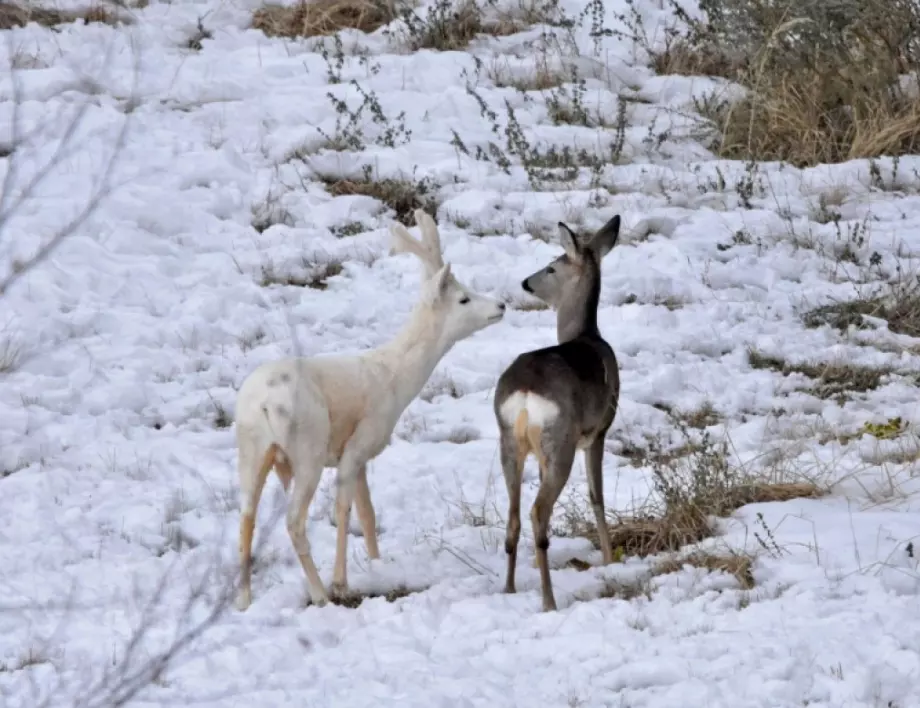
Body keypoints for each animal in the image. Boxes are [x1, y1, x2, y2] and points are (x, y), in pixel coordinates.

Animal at [234, 209, 506, 608]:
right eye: (463, 299)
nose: (501, 305)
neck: (394, 379)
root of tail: (264, 404)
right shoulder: (357, 444)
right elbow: (344, 510)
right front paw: (342, 582)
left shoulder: (362, 456)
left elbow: (368, 512)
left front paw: (379, 565)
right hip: (308, 448)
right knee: (293, 520)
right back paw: (319, 594)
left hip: (251, 450)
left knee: (247, 514)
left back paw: (243, 598)